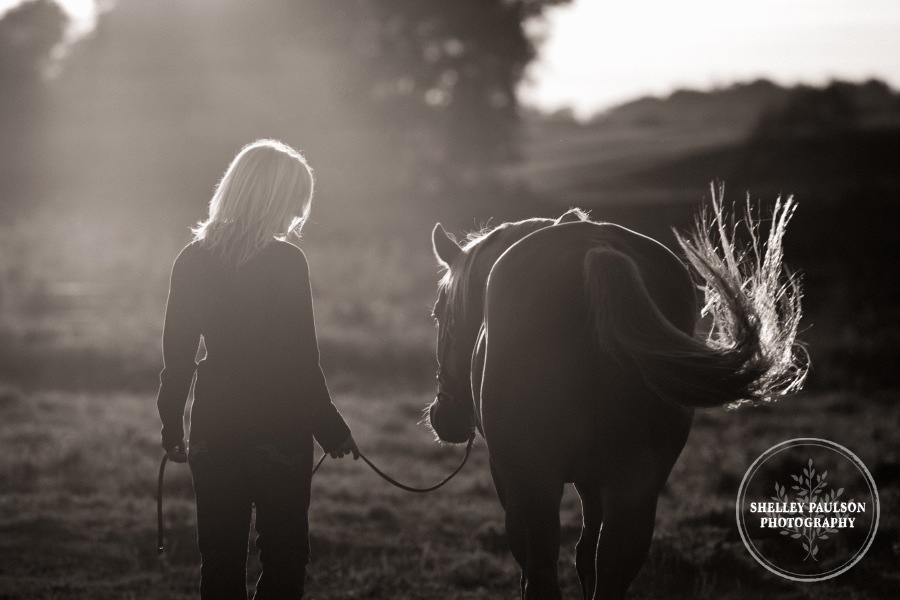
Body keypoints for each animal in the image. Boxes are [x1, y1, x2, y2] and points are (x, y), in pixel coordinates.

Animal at [426, 193, 804, 600]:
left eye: (439, 313)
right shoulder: (595, 483)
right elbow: (586, 555)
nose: (443, 416)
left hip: (538, 482)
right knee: (613, 565)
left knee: (542, 570)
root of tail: (598, 252)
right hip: (636, 487)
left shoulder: (511, 477)